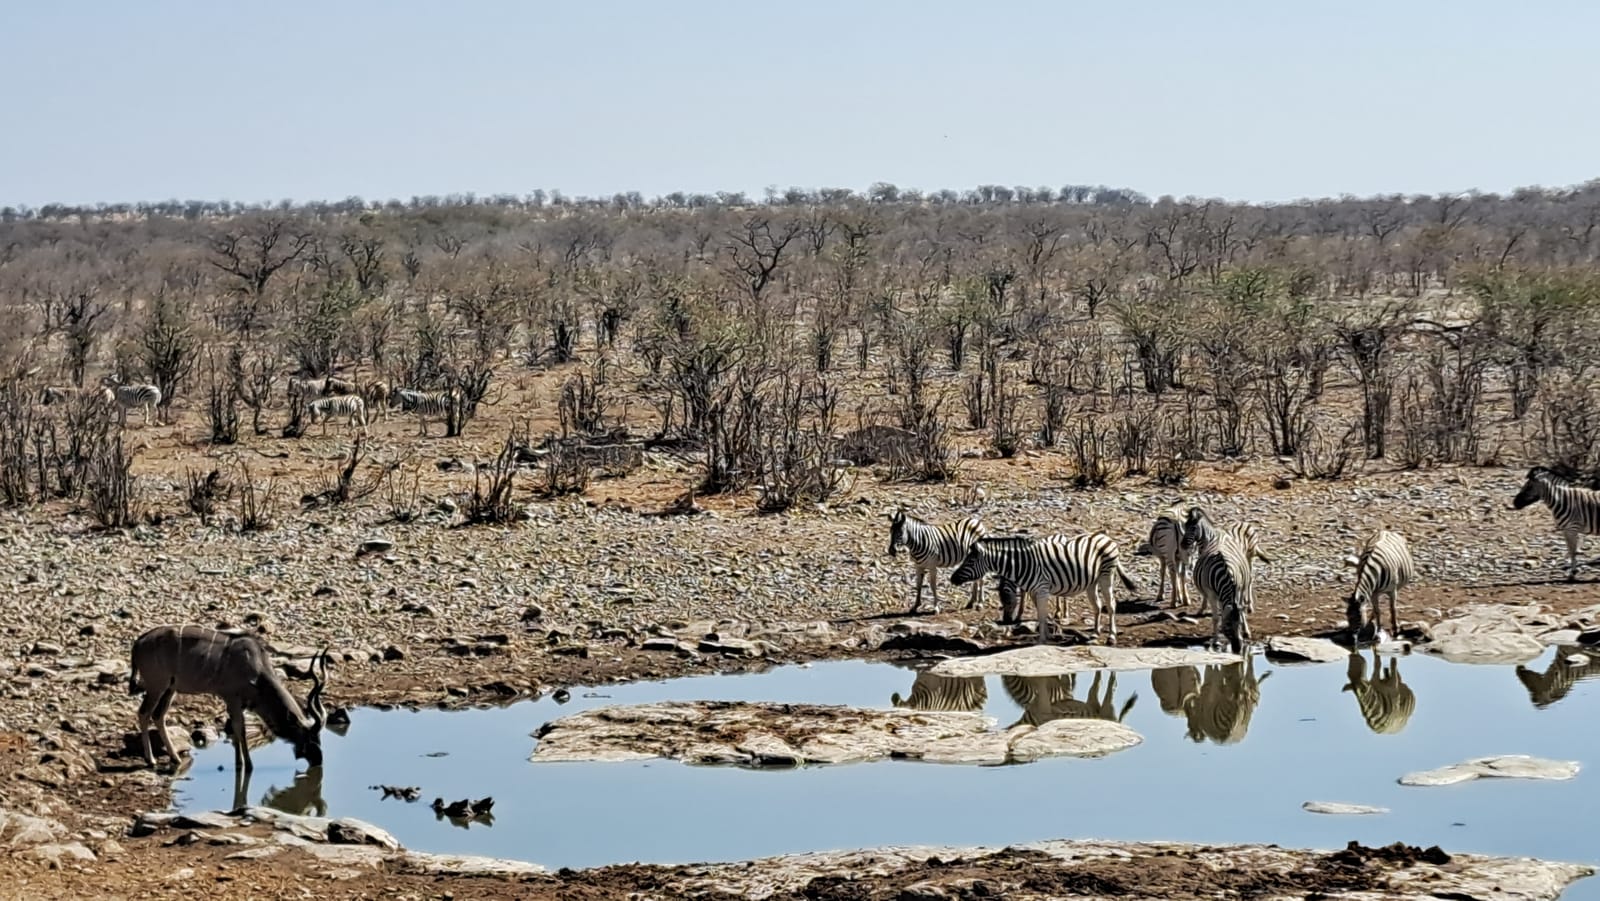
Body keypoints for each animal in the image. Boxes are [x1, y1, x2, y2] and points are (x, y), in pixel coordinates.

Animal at [951, 532, 1137, 645]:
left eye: (970, 561)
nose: (952, 579)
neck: (1023, 565)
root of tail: (1105, 537)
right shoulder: (1035, 591)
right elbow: (1041, 613)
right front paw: (1048, 634)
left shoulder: (1041, 589)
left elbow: (1040, 614)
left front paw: (1042, 640)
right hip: (1092, 581)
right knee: (1097, 606)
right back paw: (1095, 634)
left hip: (1107, 575)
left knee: (1111, 605)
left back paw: (1111, 636)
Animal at [1183, 506, 1252, 654]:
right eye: (1228, 625)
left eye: (1193, 527)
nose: (1238, 649)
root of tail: (1220, 533)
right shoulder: (1211, 594)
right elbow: (1215, 618)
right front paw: (1216, 640)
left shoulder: (1237, 590)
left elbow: (1240, 612)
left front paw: (1245, 631)